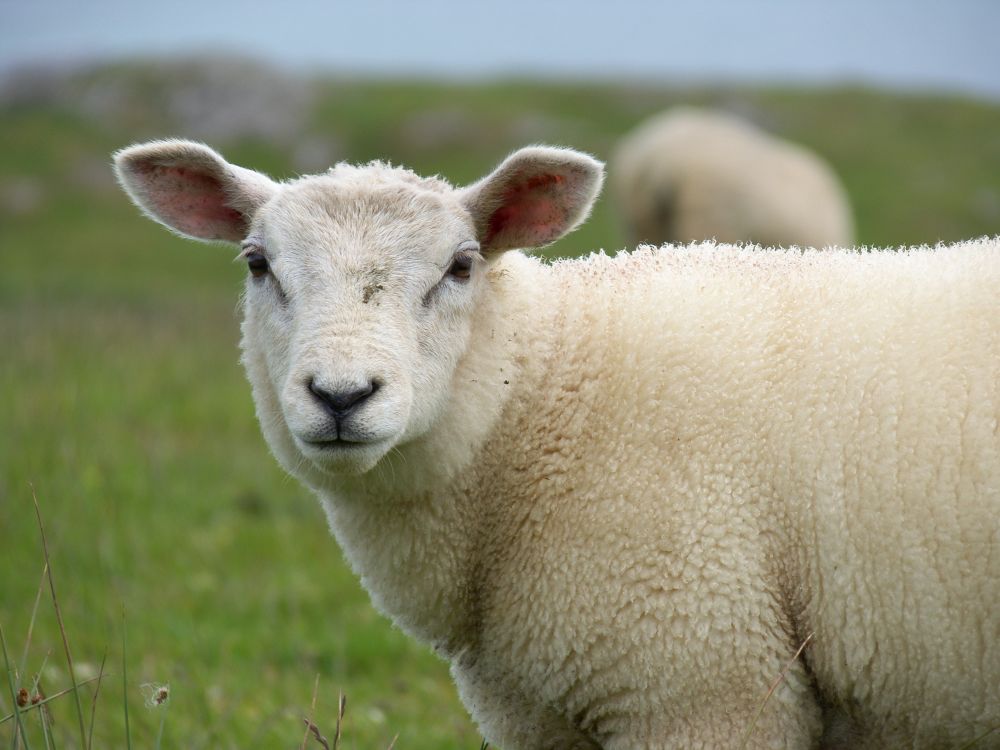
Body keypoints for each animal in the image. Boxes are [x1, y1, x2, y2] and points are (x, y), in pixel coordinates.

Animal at [113, 141, 996, 750]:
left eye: (461, 266)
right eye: (257, 263)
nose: (340, 395)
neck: (545, 397)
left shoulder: (700, 686)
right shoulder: (538, 714)